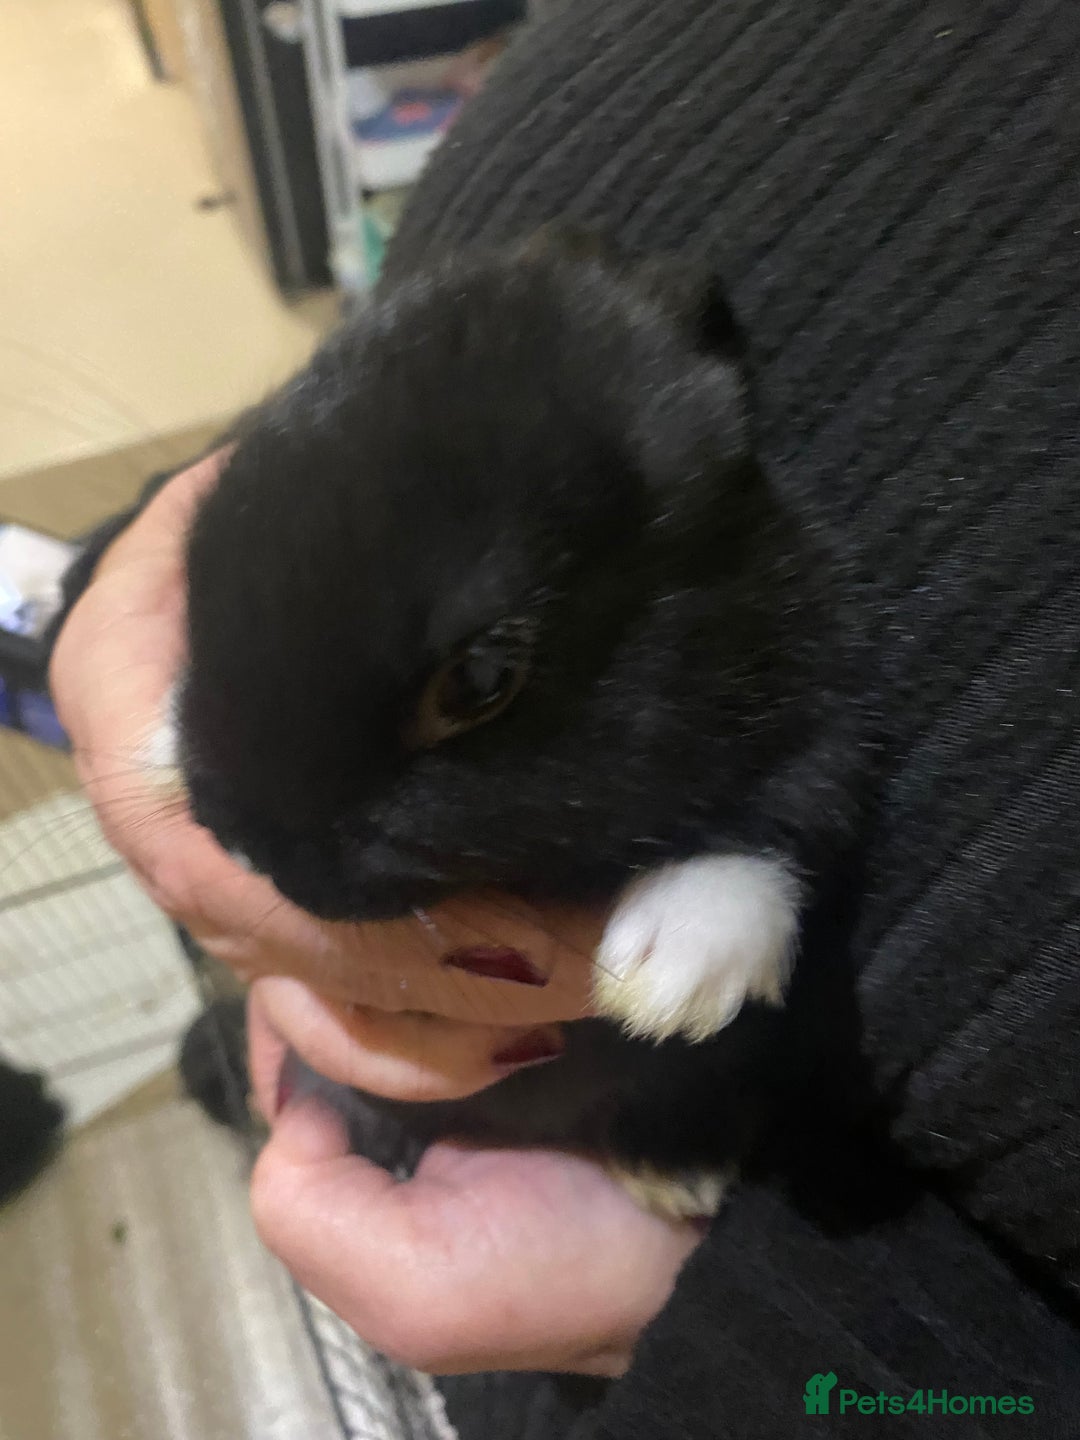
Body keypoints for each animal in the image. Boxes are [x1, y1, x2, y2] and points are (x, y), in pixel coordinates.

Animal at [169, 234, 867, 1215]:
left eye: (480, 680)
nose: (252, 847)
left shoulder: (824, 713)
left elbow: (776, 835)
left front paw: (671, 977)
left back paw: (674, 1173)